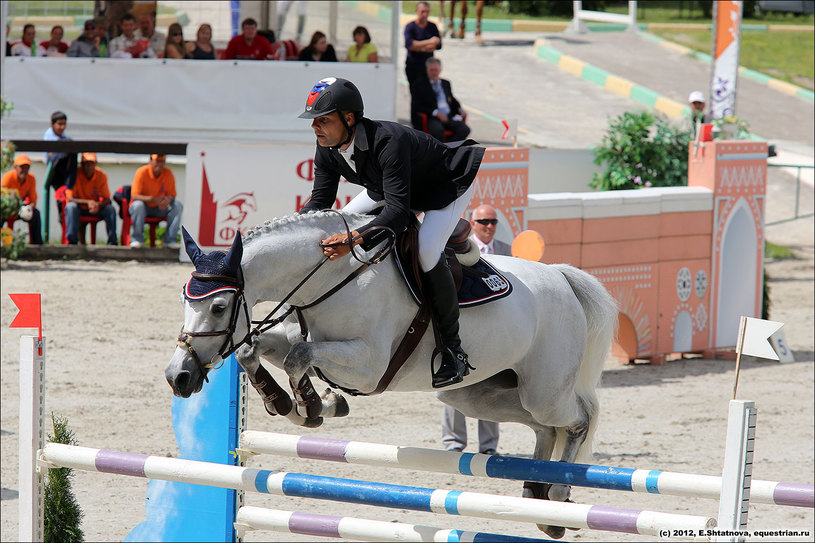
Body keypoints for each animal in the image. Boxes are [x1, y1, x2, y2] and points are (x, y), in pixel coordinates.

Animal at [166, 210, 616, 536]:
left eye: (218, 307)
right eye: (184, 301)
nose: (178, 377)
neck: (329, 280)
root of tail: (561, 276)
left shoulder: (368, 367)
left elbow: (299, 356)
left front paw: (312, 405)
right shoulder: (290, 334)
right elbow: (253, 351)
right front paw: (300, 405)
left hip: (544, 390)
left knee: (578, 420)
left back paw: (557, 496)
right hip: (478, 394)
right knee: (545, 428)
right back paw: (535, 493)